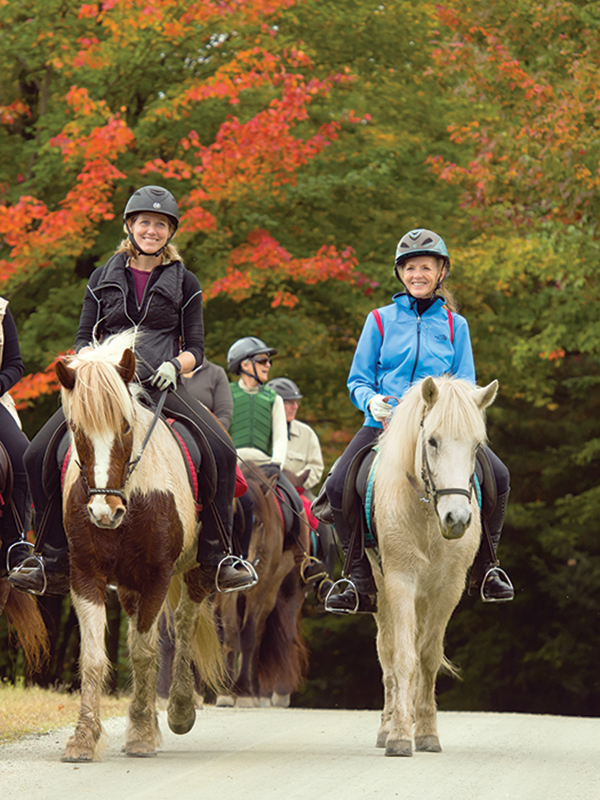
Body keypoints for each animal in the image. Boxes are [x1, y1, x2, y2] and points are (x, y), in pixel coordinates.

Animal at [54, 331, 223, 762]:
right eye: (75, 428)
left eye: (126, 426)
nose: (104, 512)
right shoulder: (86, 574)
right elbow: (93, 657)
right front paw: (83, 738)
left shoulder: (156, 575)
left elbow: (146, 651)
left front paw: (144, 734)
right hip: (127, 583)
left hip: (194, 571)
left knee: (184, 625)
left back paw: (179, 711)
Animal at [215, 462, 308, 707]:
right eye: (232, 521)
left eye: (260, 524)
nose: (243, 564)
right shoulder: (228, 593)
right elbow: (231, 635)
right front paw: (226, 691)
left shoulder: (261, 588)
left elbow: (248, 636)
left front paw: (244, 692)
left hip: (272, 591)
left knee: (257, 635)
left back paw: (255, 691)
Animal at [369, 375, 498, 756]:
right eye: (432, 441)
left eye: (476, 446)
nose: (457, 519)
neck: (427, 515)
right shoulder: (400, 582)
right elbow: (402, 657)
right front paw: (398, 736)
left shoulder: (448, 588)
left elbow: (427, 656)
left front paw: (425, 732)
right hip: (381, 590)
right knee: (387, 651)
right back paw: (387, 726)